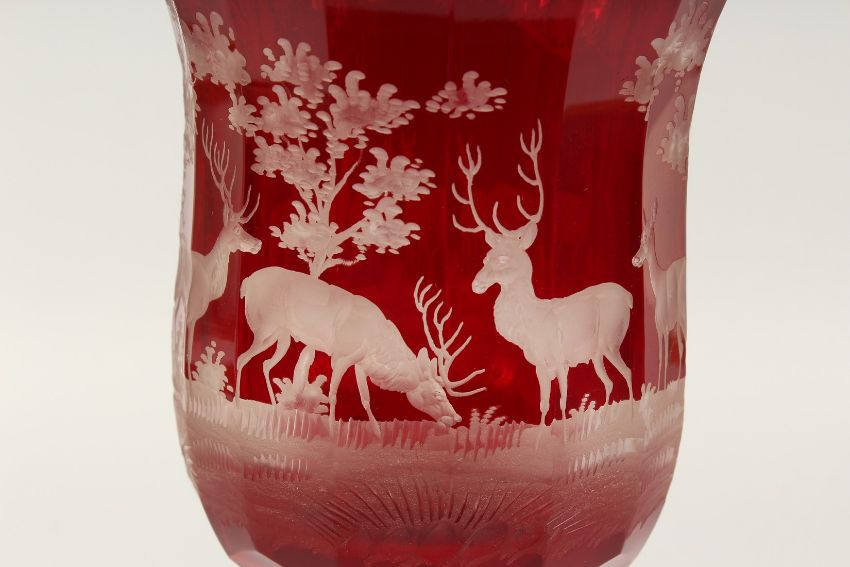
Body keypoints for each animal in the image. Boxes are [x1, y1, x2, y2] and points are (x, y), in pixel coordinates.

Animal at [236, 267, 485, 434]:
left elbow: (365, 399)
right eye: (437, 393)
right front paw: (332, 431)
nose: (456, 417)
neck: (378, 346)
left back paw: (274, 408)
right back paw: (237, 403)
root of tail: (245, 282)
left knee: (265, 364)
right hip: (264, 326)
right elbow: (334, 394)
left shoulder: (360, 364)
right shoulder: (341, 357)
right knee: (240, 359)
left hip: (282, 335)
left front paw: (376, 432)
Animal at [452, 122, 634, 429]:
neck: (529, 326)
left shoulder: (560, 359)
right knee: (609, 383)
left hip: (612, 338)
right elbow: (543, 405)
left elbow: (562, 402)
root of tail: (630, 296)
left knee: (629, 374)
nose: (476, 284)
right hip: (597, 352)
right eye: (485, 257)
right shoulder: (539, 364)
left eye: (503, 258)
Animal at [631, 201, 686, 386]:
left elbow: (665, 358)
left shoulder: (664, 328)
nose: (635, 260)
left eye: (645, 236)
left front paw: (662, 386)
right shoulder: (667, 328)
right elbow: (668, 356)